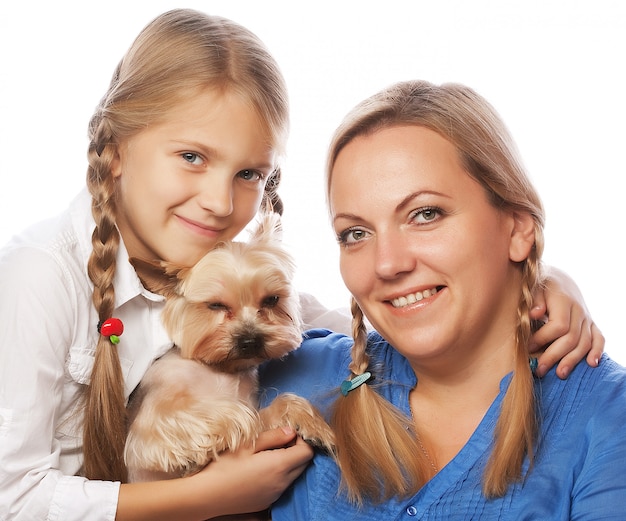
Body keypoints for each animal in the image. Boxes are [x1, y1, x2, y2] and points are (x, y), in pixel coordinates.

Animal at [123, 213, 334, 482]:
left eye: (271, 300)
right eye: (216, 305)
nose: (250, 341)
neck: (220, 369)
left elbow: (273, 407)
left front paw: (311, 423)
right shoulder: (155, 420)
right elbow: (240, 415)